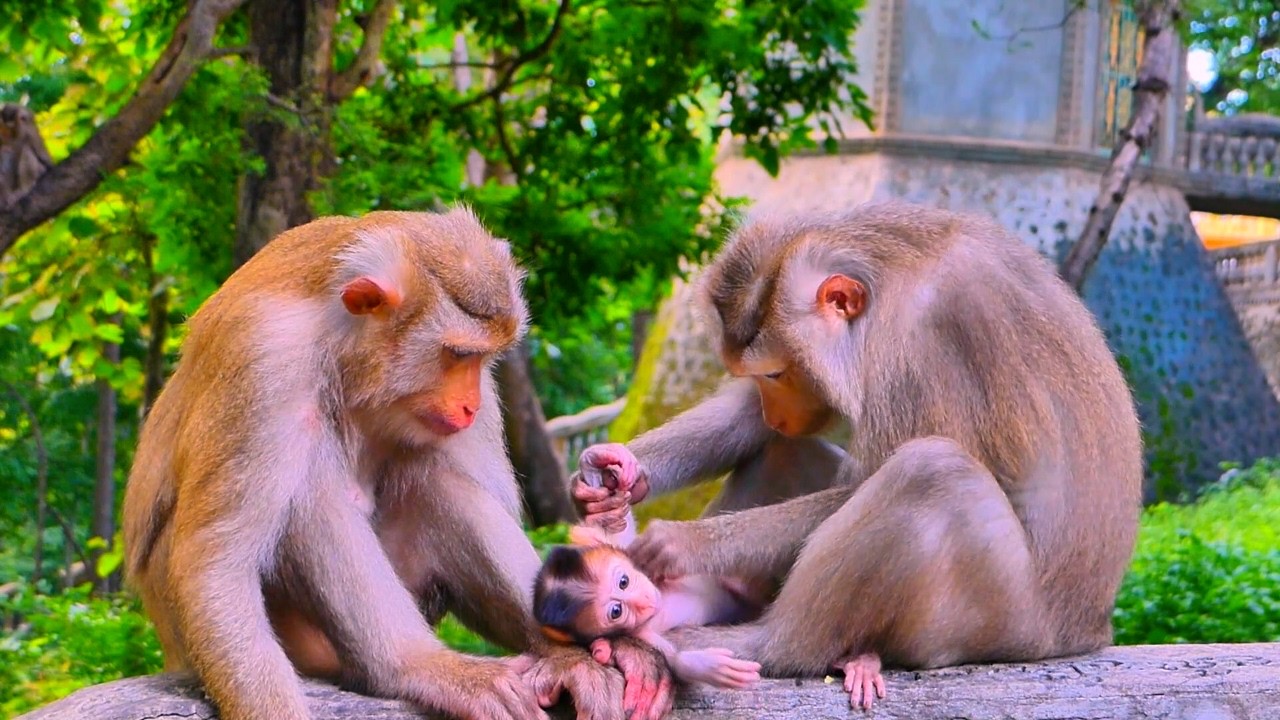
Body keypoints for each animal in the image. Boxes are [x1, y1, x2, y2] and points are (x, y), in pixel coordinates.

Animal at [122, 207, 674, 720]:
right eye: (456, 354)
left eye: (481, 359)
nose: (471, 405)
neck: (340, 346)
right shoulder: (263, 357)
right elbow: (215, 563)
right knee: (309, 482)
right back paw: (415, 665)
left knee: (435, 479)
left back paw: (566, 657)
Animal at [574, 202, 1143, 712]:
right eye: (760, 377)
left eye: (776, 372)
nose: (778, 413)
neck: (895, 278)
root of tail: (1088, 629)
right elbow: (753, 422)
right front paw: (617, 471)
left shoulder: (923, 337)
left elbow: (869, 479)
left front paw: (681, 544)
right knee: (786, 453)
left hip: (1001, 620)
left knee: (931, 472)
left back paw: (761, 643)